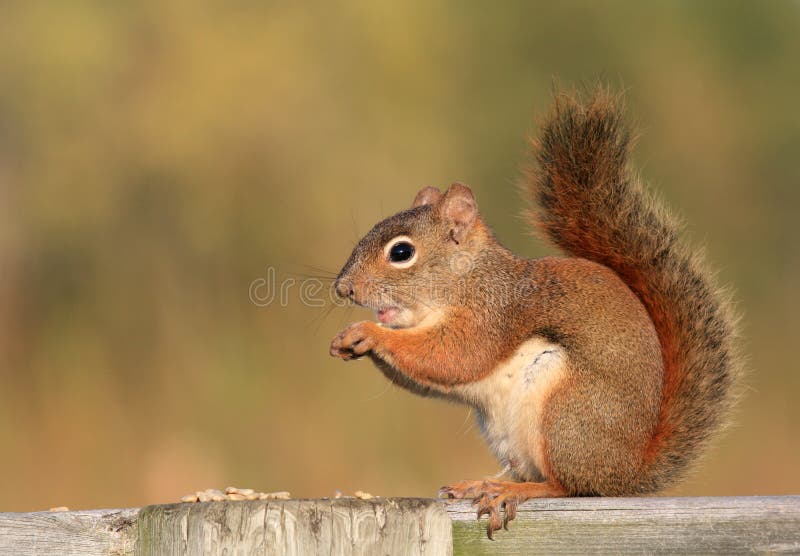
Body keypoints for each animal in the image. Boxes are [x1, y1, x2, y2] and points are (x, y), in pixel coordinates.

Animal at [329, 87, 740, 538]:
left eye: (401, 252)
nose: (344, 288)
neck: (466, 277)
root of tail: (626, 472)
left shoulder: (494, 313)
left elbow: (454, 357)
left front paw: (367, 332)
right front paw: (347, 340)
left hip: (566, 413)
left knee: (568, 486)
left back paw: (514, 491)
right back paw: (482, 483)